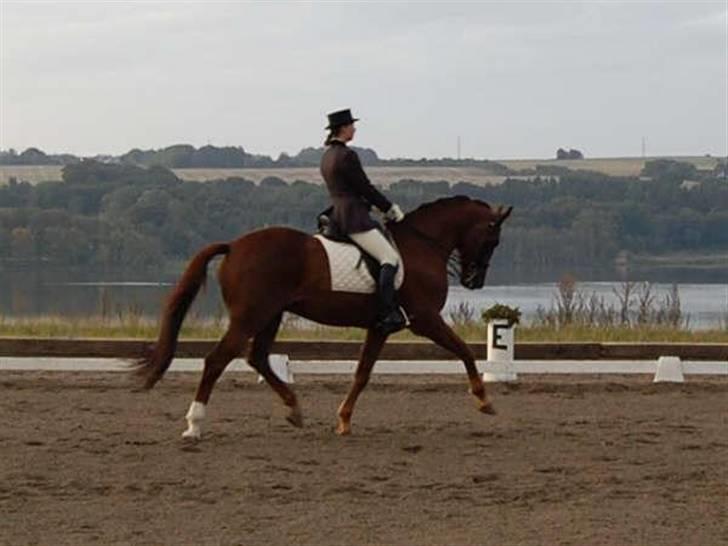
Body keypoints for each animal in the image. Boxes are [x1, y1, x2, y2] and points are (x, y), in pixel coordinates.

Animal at [134, 196, 516, 438]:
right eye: (492, 239)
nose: (474, 281)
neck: (422, 245)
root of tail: (234, 245)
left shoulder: (380, 327)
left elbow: (362, 374)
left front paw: (344, 421)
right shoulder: (425, 319)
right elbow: (464, 351)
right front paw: (484, 400)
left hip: (271, 314)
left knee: (257, 357)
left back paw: (294, 408)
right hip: (250, 317)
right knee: (217, 360)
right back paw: (194, 425)